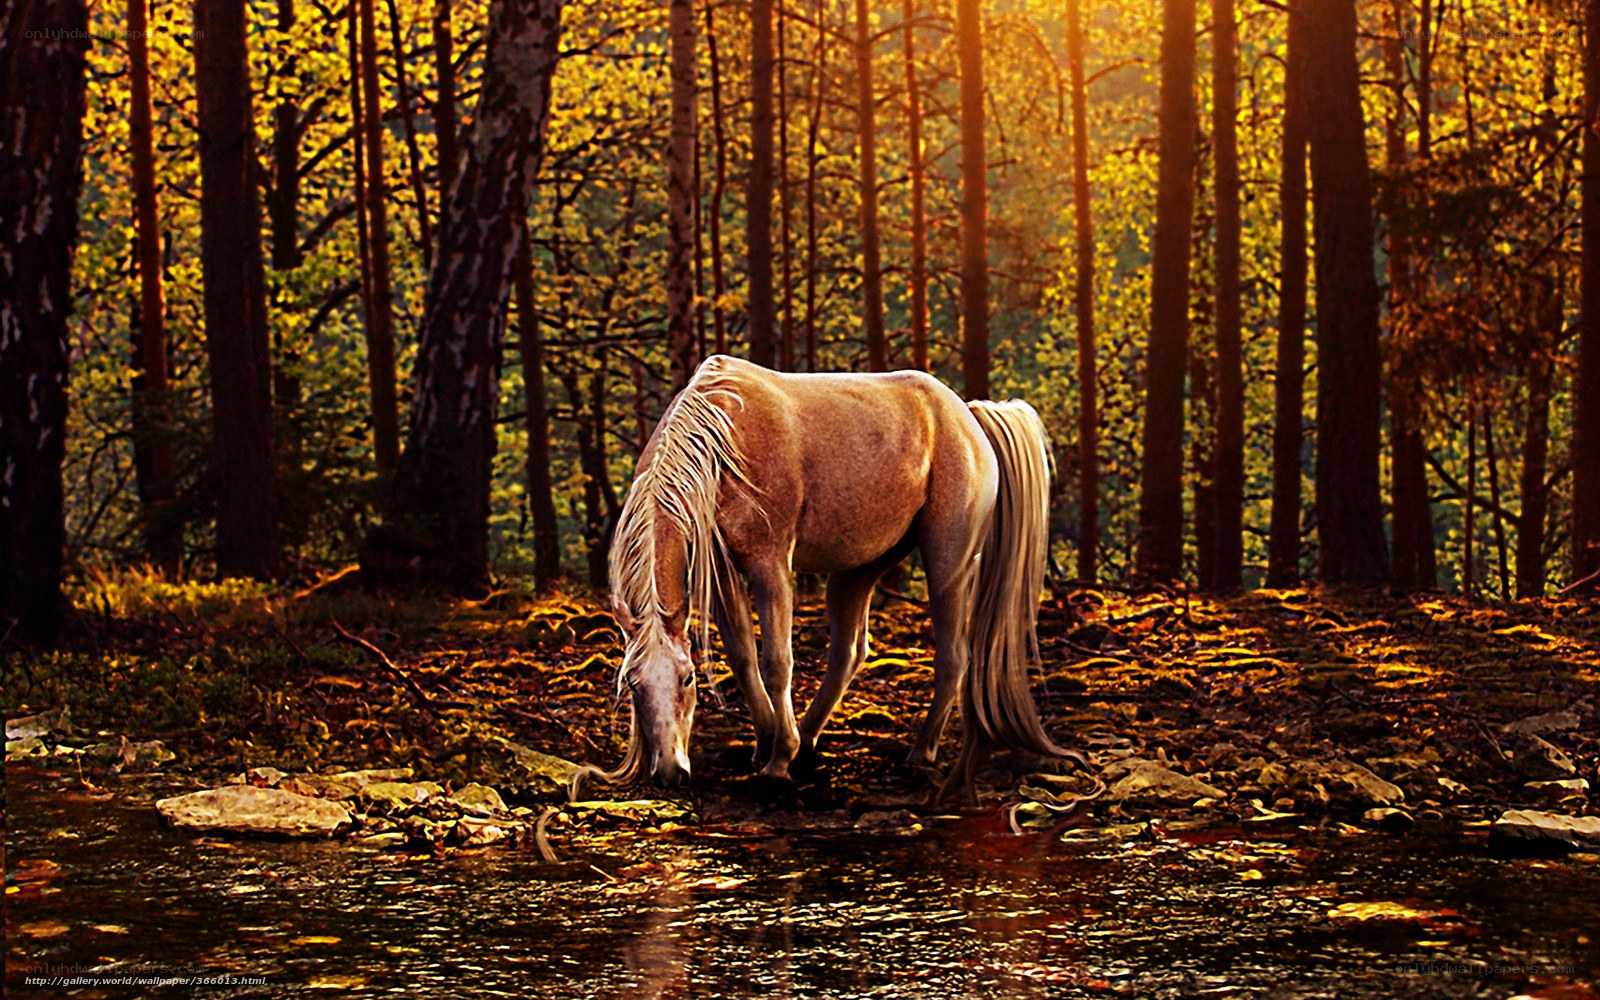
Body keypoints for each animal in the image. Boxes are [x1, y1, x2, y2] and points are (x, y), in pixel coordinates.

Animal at [578, 354, 1072, 798]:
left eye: (687, 679)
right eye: (633, 684)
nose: (669, 772)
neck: (724, 439)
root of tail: (967, 415)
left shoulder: (771, 562)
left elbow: (777, 662)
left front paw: (778, 762)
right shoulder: (722, 573)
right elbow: (743, 657)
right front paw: (767, 745)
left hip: (947, 565)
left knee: (953, 656)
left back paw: (919, 751)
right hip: (858, 569)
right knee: (849, 653)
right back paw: (810, 742)